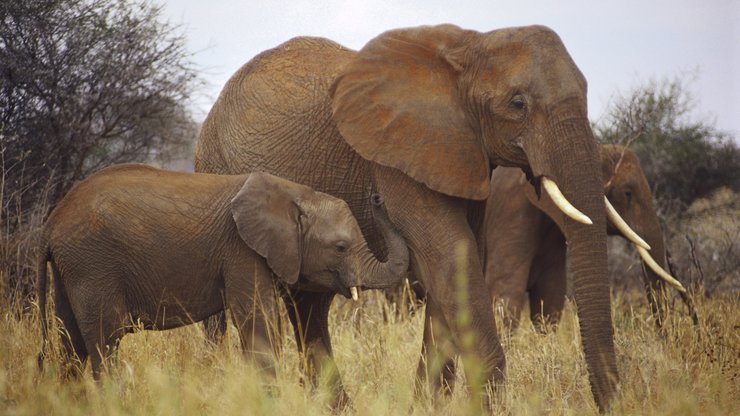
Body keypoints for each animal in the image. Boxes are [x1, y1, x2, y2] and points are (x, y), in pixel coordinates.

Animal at [37, 164, 408, 378]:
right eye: (341, 247)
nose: (376, 197)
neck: (294, 193)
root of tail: (50, 225)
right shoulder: (241, 251)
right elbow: (258, 323)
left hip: (74, 269)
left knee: (71, 345)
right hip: (93, 265)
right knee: (105, 342)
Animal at [195, 25, 636, 410]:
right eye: (518, 104)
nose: (611, 405)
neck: (469, 47)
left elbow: (454, 268)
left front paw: (428, 407)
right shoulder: (396, 162)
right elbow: (451, 258)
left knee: (310, 308)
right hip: (214, 171)